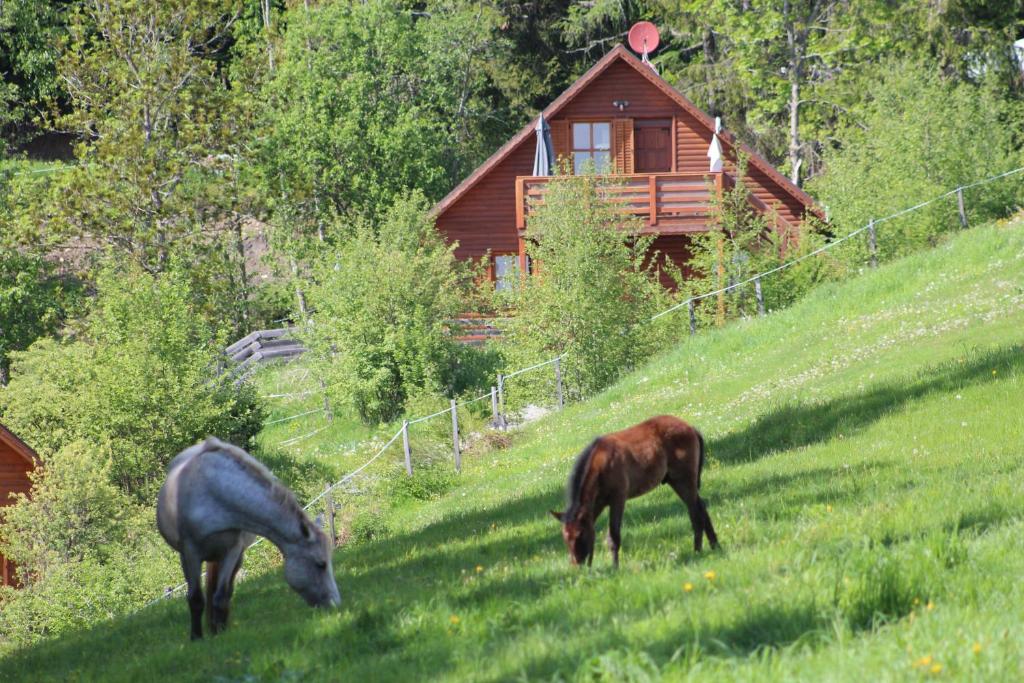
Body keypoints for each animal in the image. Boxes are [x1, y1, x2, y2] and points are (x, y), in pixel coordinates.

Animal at [155, 438, 339, 643]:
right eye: (320, 564)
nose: (335, 604)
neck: (213, 493)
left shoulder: (232, 552)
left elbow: (221, 596)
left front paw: (220, 633)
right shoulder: (189, 554)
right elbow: (195, 598)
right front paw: (196, 637)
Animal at [548, 417, 716, 565]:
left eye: (580, 534)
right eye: (565, 538)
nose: (577, 564)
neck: (601, 465)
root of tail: (690, 427)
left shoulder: (618, 499)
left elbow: (614, 536)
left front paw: (615, 568)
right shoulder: (600, 503)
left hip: (684, 480)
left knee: (695, 514)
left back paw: (698, 551)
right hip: (677, 482)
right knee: (701, 508)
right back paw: (715, 545)